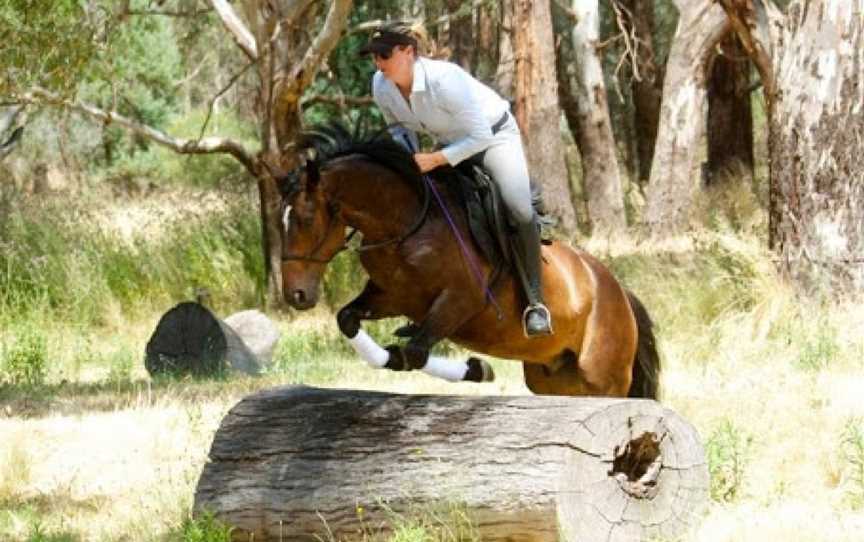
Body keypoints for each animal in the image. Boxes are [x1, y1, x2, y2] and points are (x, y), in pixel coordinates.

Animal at [276, 125, 660, 402]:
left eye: (306, 219)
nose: (296, 295)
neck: (406, 225)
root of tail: (620, 293)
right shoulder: (391, 297)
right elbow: (349, 319)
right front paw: (393, 357)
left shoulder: (462, 301)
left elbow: (416, 352)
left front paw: (477, 368)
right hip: (552, 378)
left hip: (602, 377)